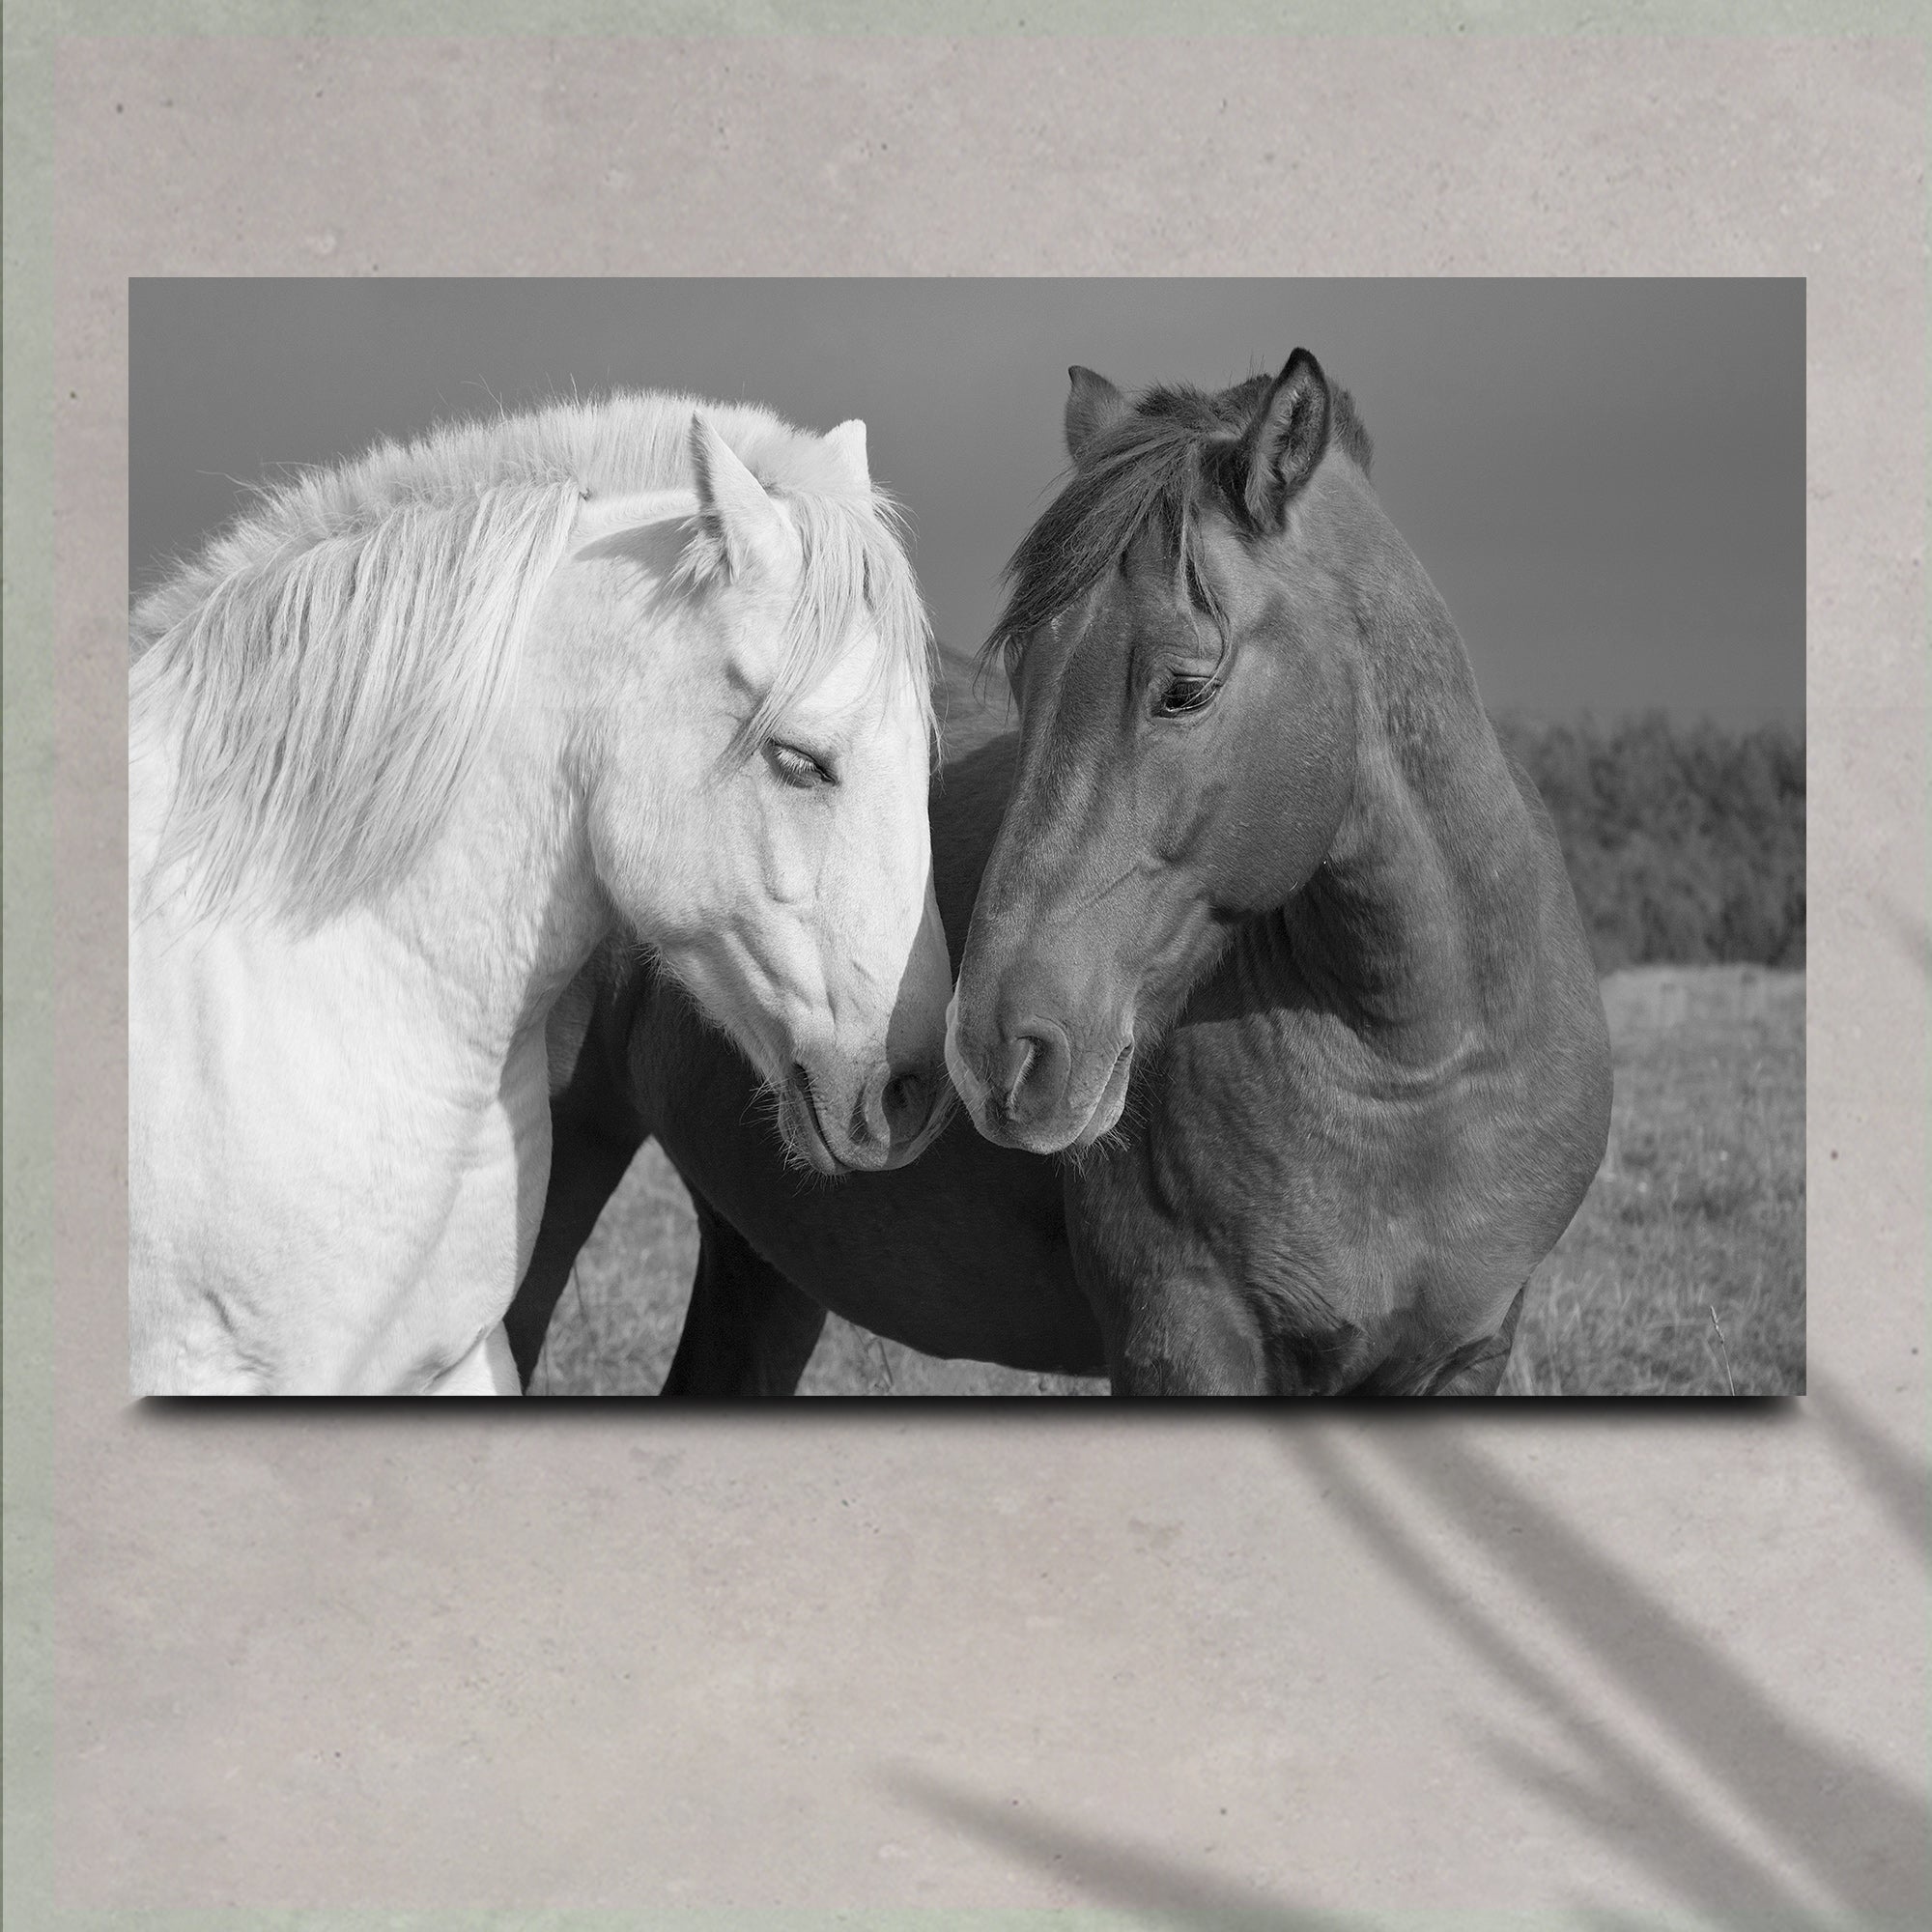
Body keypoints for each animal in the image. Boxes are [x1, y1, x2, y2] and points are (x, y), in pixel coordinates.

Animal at [510, 350, 1613, 1397]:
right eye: (1025, 676)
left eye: (1185, 688)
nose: (996, 1051)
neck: (1417, 1062)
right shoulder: (1181, 1338)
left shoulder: (1462, 1354)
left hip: (764, 1253)